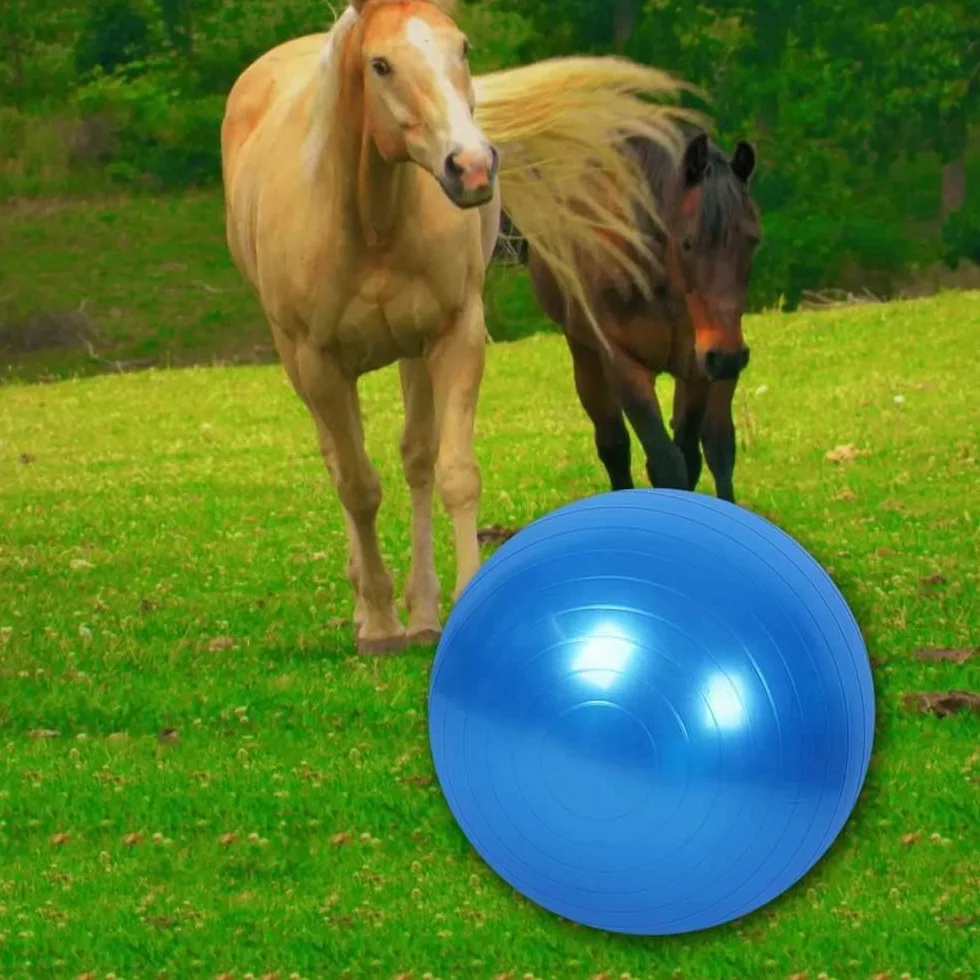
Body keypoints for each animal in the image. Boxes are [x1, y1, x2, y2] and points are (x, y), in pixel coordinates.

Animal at [220, 0, 697, 653]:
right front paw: (378, 625)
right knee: (341, 463)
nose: (471, 168)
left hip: (411, 352)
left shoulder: (454, 335)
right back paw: (370, 608)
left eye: (463, 48)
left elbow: (454, 474)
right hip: (304, 366)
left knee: (417, 461)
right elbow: (359, 486)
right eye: (380, 64)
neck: (370, 220)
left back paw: (423, 611)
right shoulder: (319, 362)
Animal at [519, 128, 761, 502]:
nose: (727, 354)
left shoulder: (695, 368)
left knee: (718, 444)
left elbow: (689, 457)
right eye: (687, 242)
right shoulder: (623, 363)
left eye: (753, 241)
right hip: (586, 356)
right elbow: (664, 462)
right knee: (613, 445)